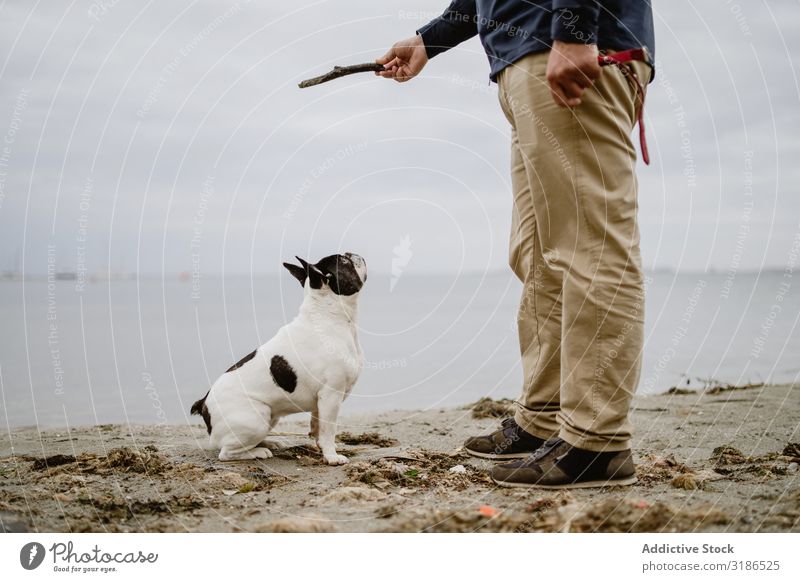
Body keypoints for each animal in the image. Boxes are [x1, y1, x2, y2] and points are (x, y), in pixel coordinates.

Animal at [192, 254, 368, 466]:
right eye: (344, 261)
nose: (353, 253)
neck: (327, 315)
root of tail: (204, 404)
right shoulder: (331, 395)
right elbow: (328, 429)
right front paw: (332, 456)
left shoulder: (320, 401)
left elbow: (317, 424)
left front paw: (320, 446)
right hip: (257, 417)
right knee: (226, 453)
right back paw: (258, 452)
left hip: (269, 418)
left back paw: (269, 443)